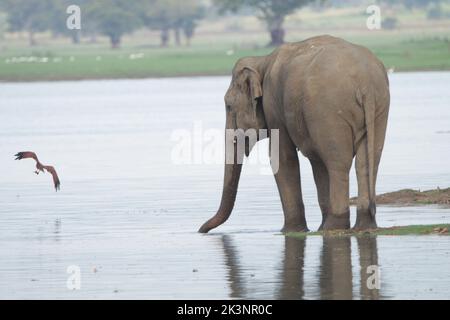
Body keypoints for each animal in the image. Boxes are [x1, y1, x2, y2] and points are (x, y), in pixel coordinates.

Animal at [199, 35, 388, 234]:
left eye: (228, 106)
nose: (201, 229)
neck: (262, 61)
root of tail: (365, 82)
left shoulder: (273, 104)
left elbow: (281, 158)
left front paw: (289, 231)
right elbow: (315, 163)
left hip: (328, 110)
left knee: (337, 163)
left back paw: (333, 227)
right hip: (379, 108)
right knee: (366, 162)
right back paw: (362, 225)